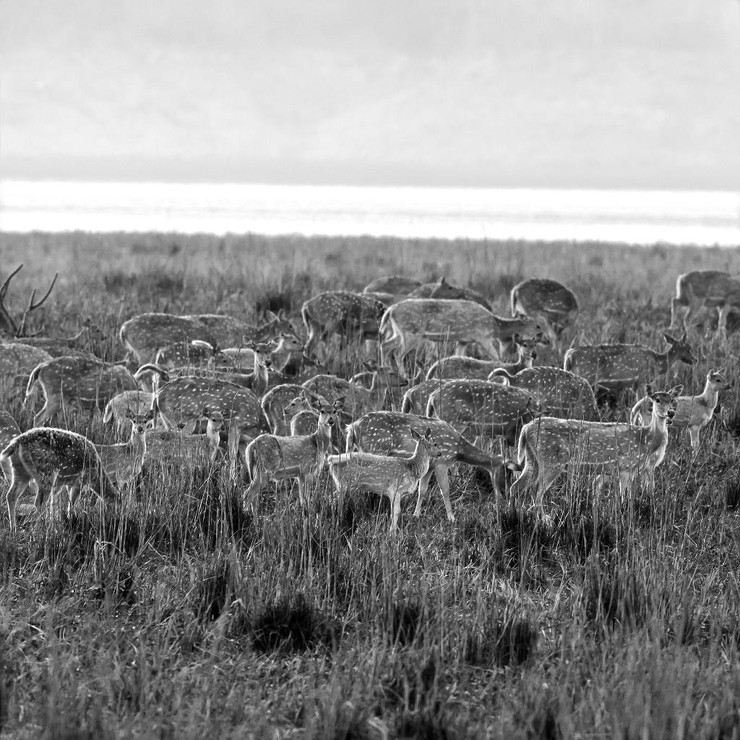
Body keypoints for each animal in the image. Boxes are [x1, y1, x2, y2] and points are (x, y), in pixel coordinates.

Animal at [346, 414, 520, 524]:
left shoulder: (429, 467)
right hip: (375, 448)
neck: (458, 450)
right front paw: (451, 517)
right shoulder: (442, 462)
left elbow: (422, 490)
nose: (505, 494)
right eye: (507, 472)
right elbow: (445, 490)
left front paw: (416, 514)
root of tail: (351, 428)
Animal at [508, 384, 684, 506]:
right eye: (657, 400)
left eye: (672, 400)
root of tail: (526, 428)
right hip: (551, 459)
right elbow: (624, 498)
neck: (646, 440)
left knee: (515, 487)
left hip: (532, 458)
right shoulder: (626, 466)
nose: (671, 413)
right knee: (536, 492)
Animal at [564, 332, 696, 396]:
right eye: (689, 347)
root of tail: (569, 355)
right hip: (585, 376)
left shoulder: (635, 385)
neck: (658, 363)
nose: (695, 360)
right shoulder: (642, 380)